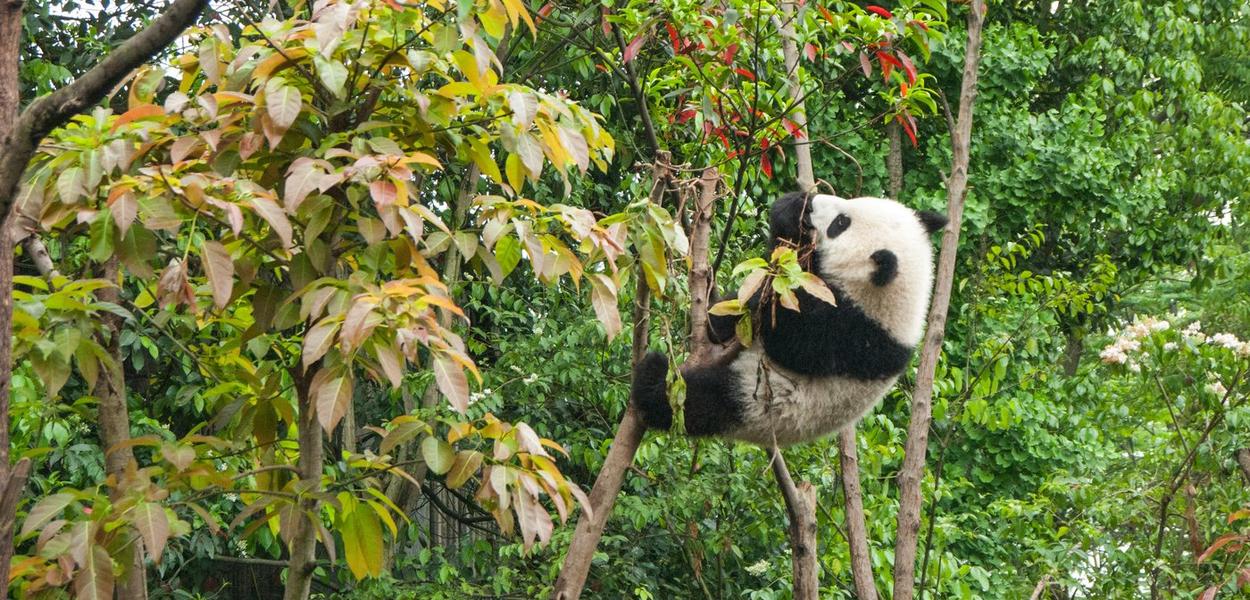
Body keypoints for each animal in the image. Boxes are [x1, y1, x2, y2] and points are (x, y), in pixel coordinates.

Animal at [631, 192, 948, 446]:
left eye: (840, 223)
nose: (814, 201)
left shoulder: (854, 334)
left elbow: (789, 339)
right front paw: (791, 209)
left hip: (756, 402)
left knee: (697, 401)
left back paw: (652, 378)